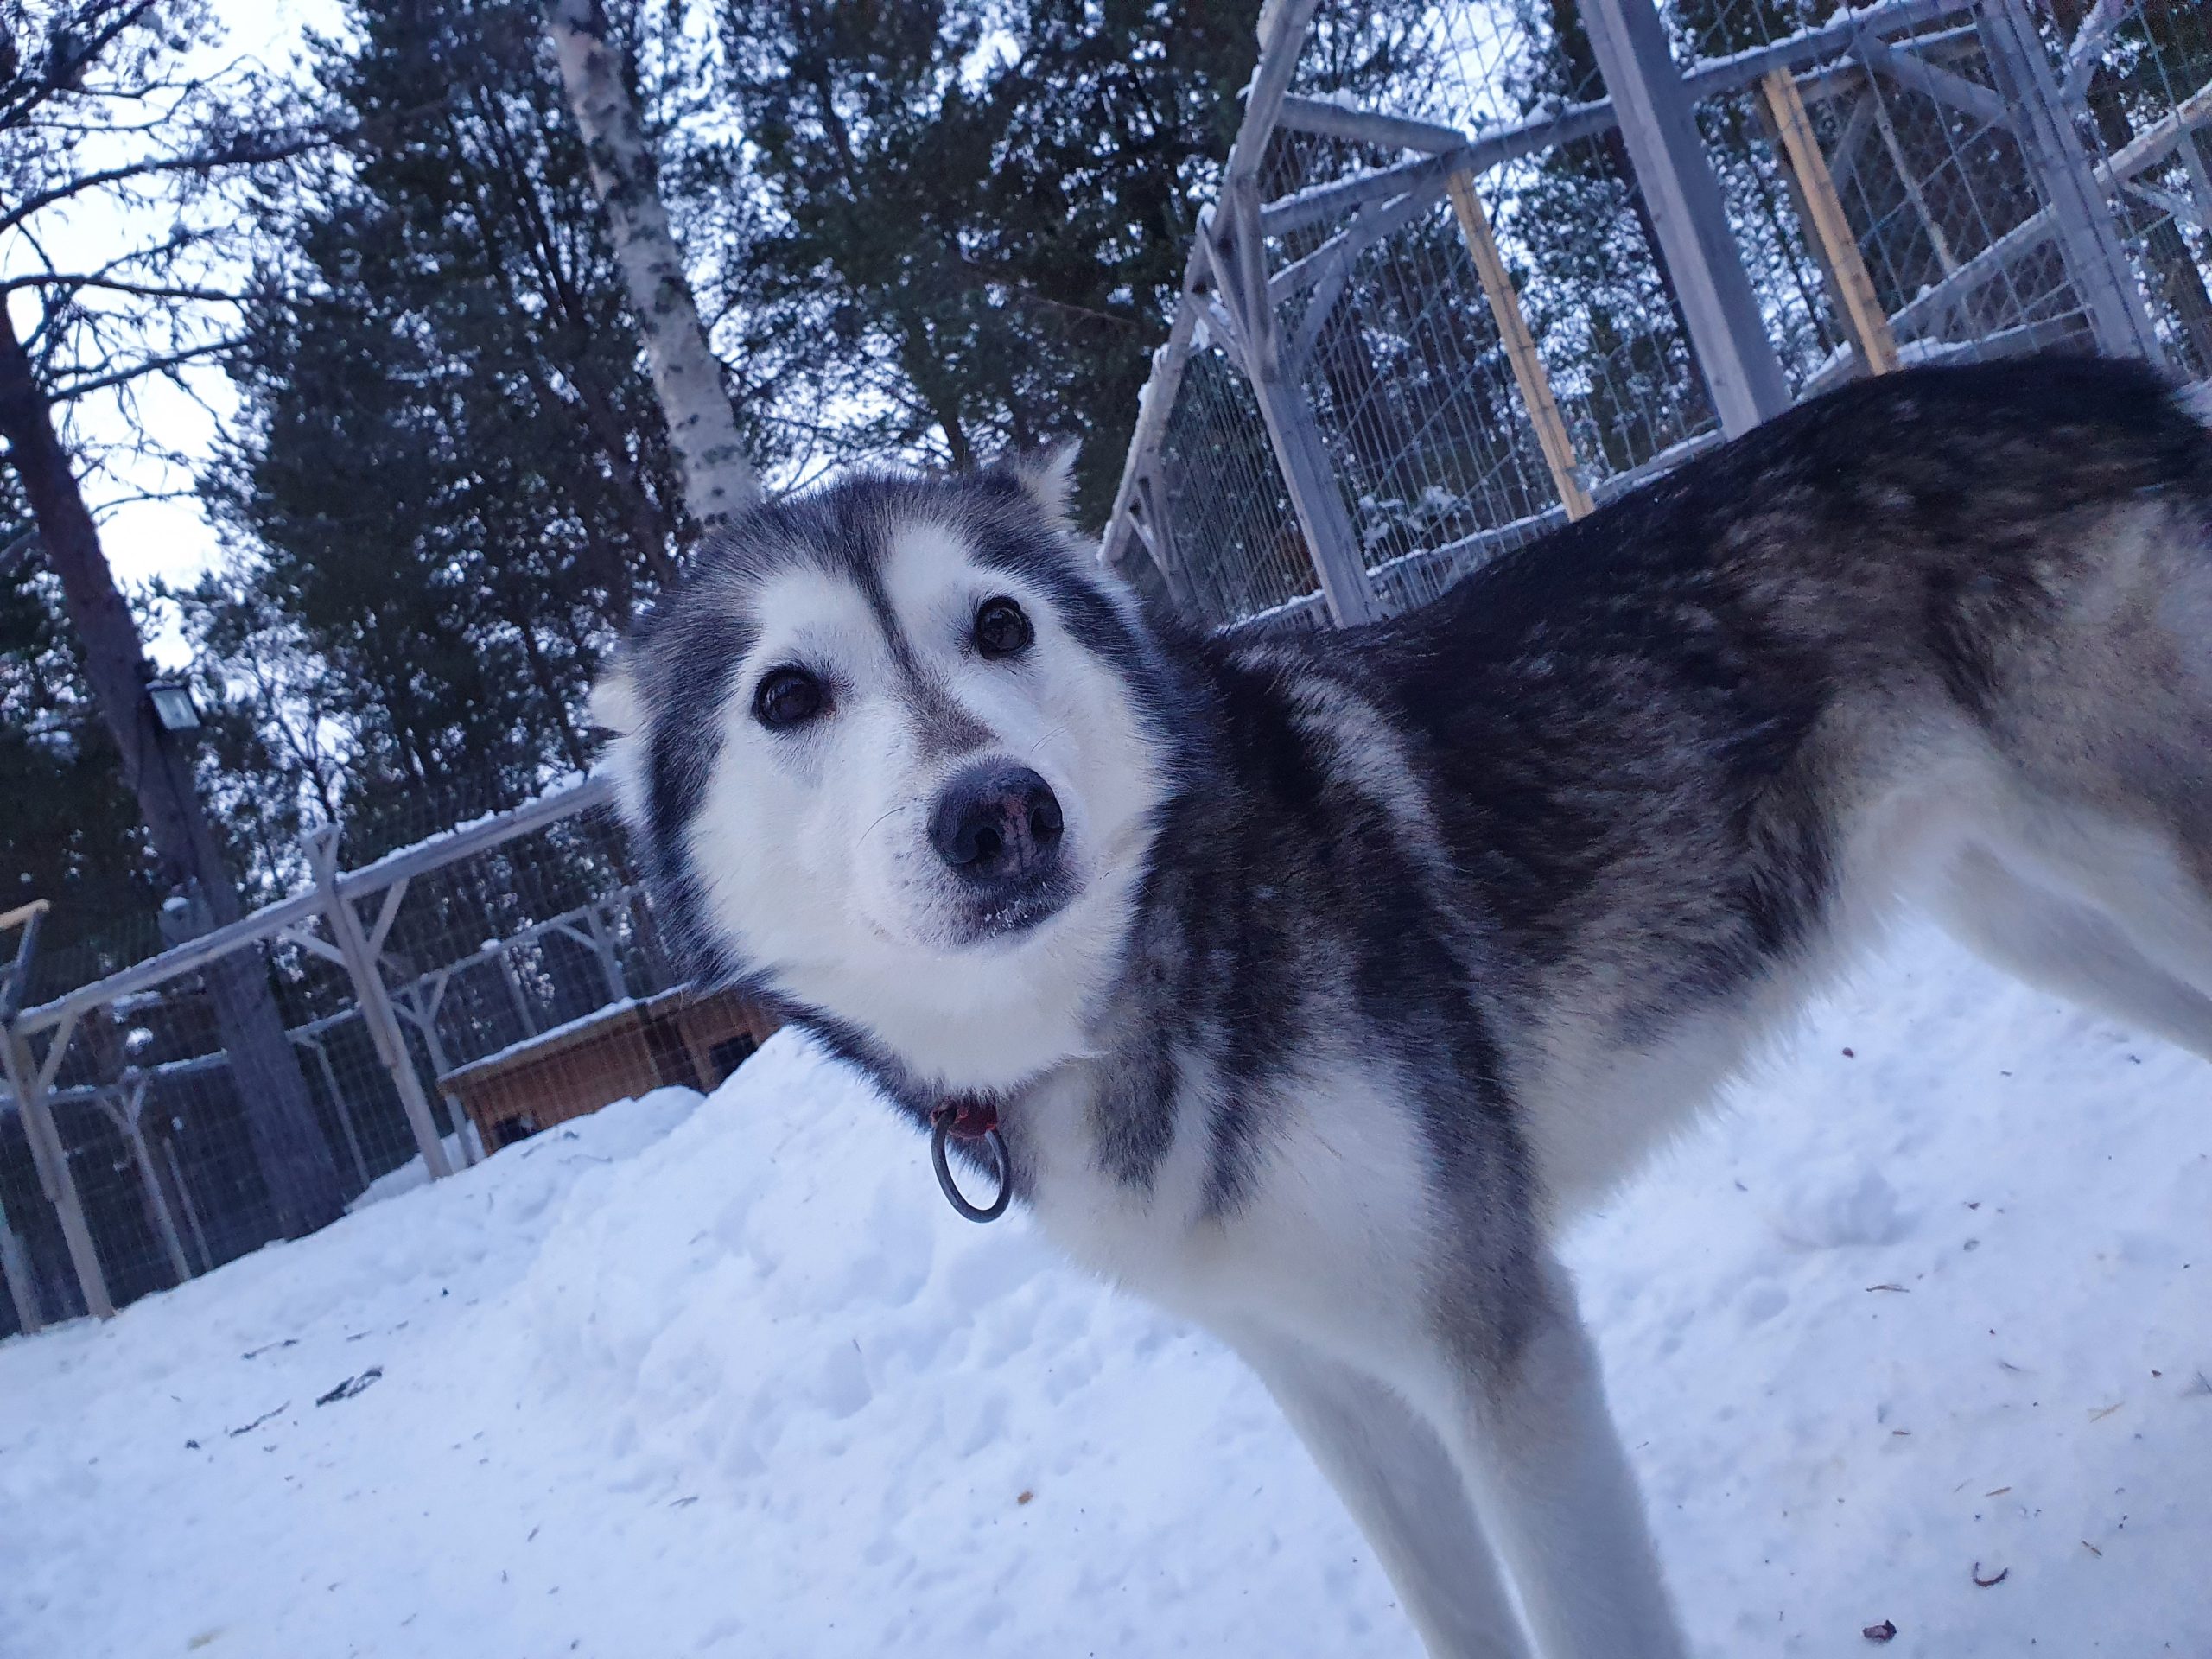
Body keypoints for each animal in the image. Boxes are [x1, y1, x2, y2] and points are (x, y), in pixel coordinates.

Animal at [588, 358, 2212, 1654]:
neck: (1158, 958)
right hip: (2039, 918)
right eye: (787, 697)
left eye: (998, 626)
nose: (1000, 814)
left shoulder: (1499, 1349)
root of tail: (2092, 377)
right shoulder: (1331, 1383)